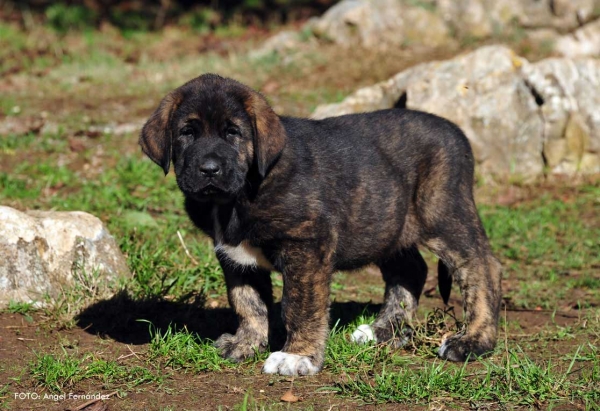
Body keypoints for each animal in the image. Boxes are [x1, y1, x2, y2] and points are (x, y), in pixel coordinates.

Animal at [139, 74, 502, 376]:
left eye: (233, 133)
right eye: (187, 133)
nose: (209, 169)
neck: (235, 198)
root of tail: (458, 134)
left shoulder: (307, 245)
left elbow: (299, 305)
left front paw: (296, 356)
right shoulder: (234, 257)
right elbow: (247, 303)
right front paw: (245, 344)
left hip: (443, 213)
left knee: (481, 267)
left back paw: (472, 342)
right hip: (386, 223)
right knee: (410, 270)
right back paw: (383, 331)